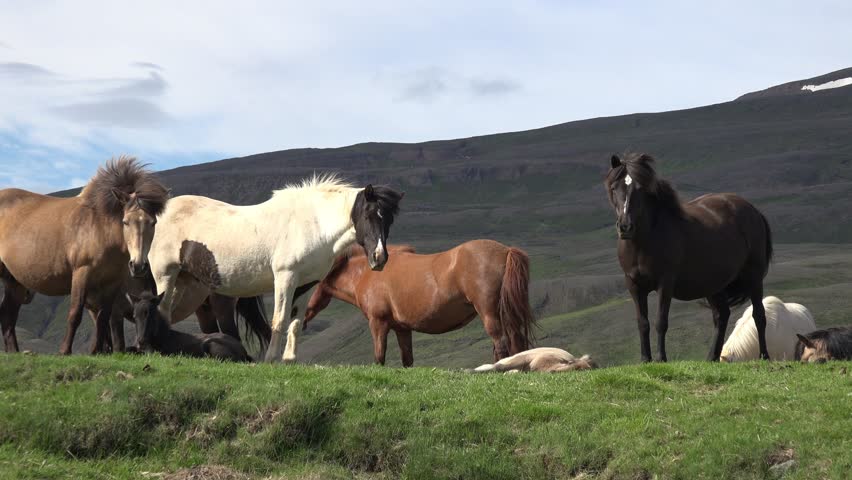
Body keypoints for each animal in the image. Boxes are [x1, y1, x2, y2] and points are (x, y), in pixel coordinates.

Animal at [0, 157, 168, 354]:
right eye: (125, 221)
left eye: (153, 222)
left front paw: (96, 351)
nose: (138, 266)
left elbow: (103, 319)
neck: (100, 228)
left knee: (8, 315)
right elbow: (75, 314)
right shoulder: (82, 273)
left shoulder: (112, 283)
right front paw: (65, 351)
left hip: (14, 280)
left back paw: (14, 351)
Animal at [147, 175, 403, 363]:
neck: (313, 225)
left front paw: (289, 360)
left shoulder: (306, 285)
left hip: (184, 281)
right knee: (162, 310)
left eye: (390, 219)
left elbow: (296, 324)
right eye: (369, 215)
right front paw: (271, 359)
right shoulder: (285, 278)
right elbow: (279, 320)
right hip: (165, 275)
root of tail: (162, 211)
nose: (379, 258)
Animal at [303, 240, 537, 366]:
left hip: (489, 313)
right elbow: (407, 360)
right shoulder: (402, 329)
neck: (368, 274)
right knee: (516, 342)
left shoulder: (378, 323)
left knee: (501, 344)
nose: (304, 316)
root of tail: (506, 250)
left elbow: (379, 357)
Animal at [605, 153, 773, 362]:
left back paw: (764, 356)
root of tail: (754, 211)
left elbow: (661, 322)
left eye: (640, 189)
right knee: (721, 315)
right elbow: (642, 323)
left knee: (759, 315)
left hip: (754, 276)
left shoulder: (665, 283)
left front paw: (661, 359)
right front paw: (645, 360)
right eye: (614, 188)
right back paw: (711, 358)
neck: (644, 243)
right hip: (714, 284)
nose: (625, 226)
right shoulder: (634, 285)